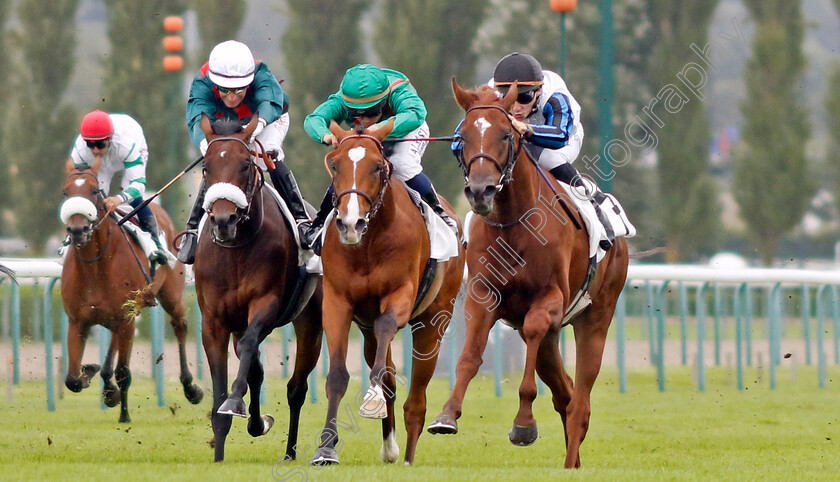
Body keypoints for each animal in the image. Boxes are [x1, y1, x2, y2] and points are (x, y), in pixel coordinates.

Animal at [60, 155, 202, 422]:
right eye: (65, 192)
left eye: (94, 191)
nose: (77, 230)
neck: (95, 266)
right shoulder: (77, 321)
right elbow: (72, 379)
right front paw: (93, 373)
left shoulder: (125, 318)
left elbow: (124, 372)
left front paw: (124, 416)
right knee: (113, 342)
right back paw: (106, 384)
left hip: (171, 296)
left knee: (179, 326)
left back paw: (191, 387)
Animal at [195, 114, 324, 464]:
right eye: (206, 167)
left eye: (244, 165)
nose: (223, 219)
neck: (237, 247)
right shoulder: (213, 321)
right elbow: (226, 383)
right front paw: (219, 452)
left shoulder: (265, 304)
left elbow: (250, 349)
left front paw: (235, 403)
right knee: (254, 367)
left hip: (311, 321)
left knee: (296, 387)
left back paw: (290, 451)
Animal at [310, 120, 466, 466]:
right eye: (335, 164)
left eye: (378, 166)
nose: (350, 223)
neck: (368, 244)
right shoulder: (337, 302)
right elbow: (338, 375)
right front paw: (325, 447)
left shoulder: (400, 294)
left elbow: (386, 328)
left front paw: (372, 397)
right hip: (366, 329)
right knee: (390, 375)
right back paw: (390, 446)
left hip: (435, 320)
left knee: (417, 396)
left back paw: (408, 455)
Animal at [426, 81, 632, 468]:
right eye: (462, 137)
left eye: (506, 134)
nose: (481, 190)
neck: (514, 221)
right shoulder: (483, 294)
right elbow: (470, 355)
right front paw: (447, 415)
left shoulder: (549, 299)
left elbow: (533, 343)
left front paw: (523, 424)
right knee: (565, 393)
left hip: (596, 315)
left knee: (581, 398)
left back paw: (570, 461)